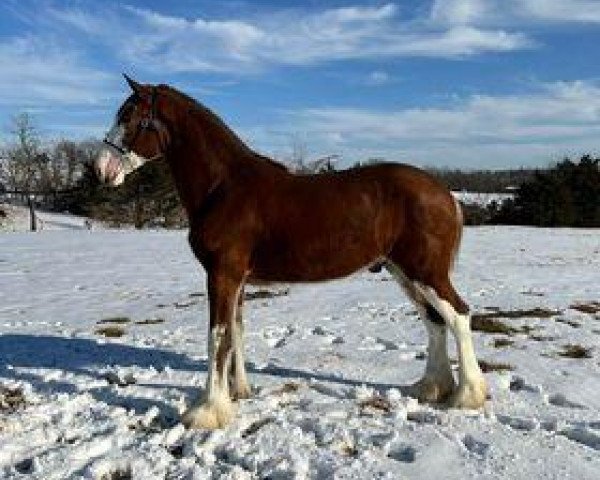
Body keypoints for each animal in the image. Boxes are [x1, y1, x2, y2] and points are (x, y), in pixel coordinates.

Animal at [95, 77, 488, 430]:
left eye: (129, 117)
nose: (101, 170)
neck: (223, 187)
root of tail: (446, 194)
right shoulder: (236, 278)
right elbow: (235, 332)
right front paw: (239, 393)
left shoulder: (222, 274)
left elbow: (217, 336)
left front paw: (206, 412)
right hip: (403, 271)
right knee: (434, 321)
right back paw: (431, 388)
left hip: (425, 271)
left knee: (458, 315)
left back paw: (467, 395)